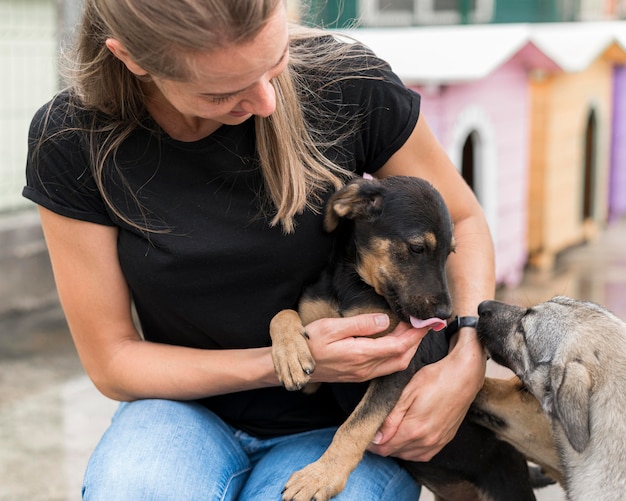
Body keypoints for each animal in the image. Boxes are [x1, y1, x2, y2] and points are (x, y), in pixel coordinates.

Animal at [268, 178, 532, 500]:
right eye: (417, 247)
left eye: (449, 254)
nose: (445, 315)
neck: (356, 287)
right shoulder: (318, 347)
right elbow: (282, 314)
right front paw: (290, 356)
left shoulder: (399, 366)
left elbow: (357, 424)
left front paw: (320, 477)